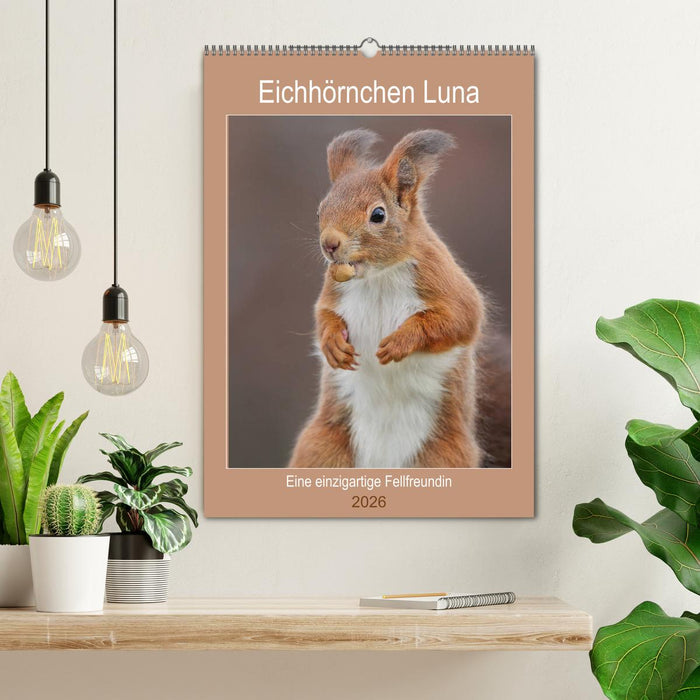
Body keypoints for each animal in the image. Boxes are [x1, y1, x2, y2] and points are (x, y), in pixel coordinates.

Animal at [288, 129, 488, 469]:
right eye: (320, 210)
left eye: (378, 215)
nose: (329, 244)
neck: (378, 277)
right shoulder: (334, 289)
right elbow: (323, 314)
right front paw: (332, 344)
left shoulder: (445, 283)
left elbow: (459, 320)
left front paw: (400, 341)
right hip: (322, 450)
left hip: (442, 458)